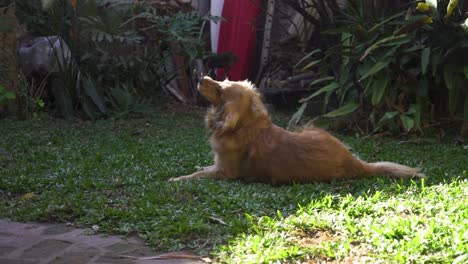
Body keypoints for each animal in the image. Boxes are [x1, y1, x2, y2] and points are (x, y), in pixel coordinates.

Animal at [170, 76, 426, 184]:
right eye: (222, 80)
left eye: (221, 90)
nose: (200, 78)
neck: (246, 125)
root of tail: (358, 165)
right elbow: (203, 167)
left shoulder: (225, 172)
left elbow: (198, 175)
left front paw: (177, 178)